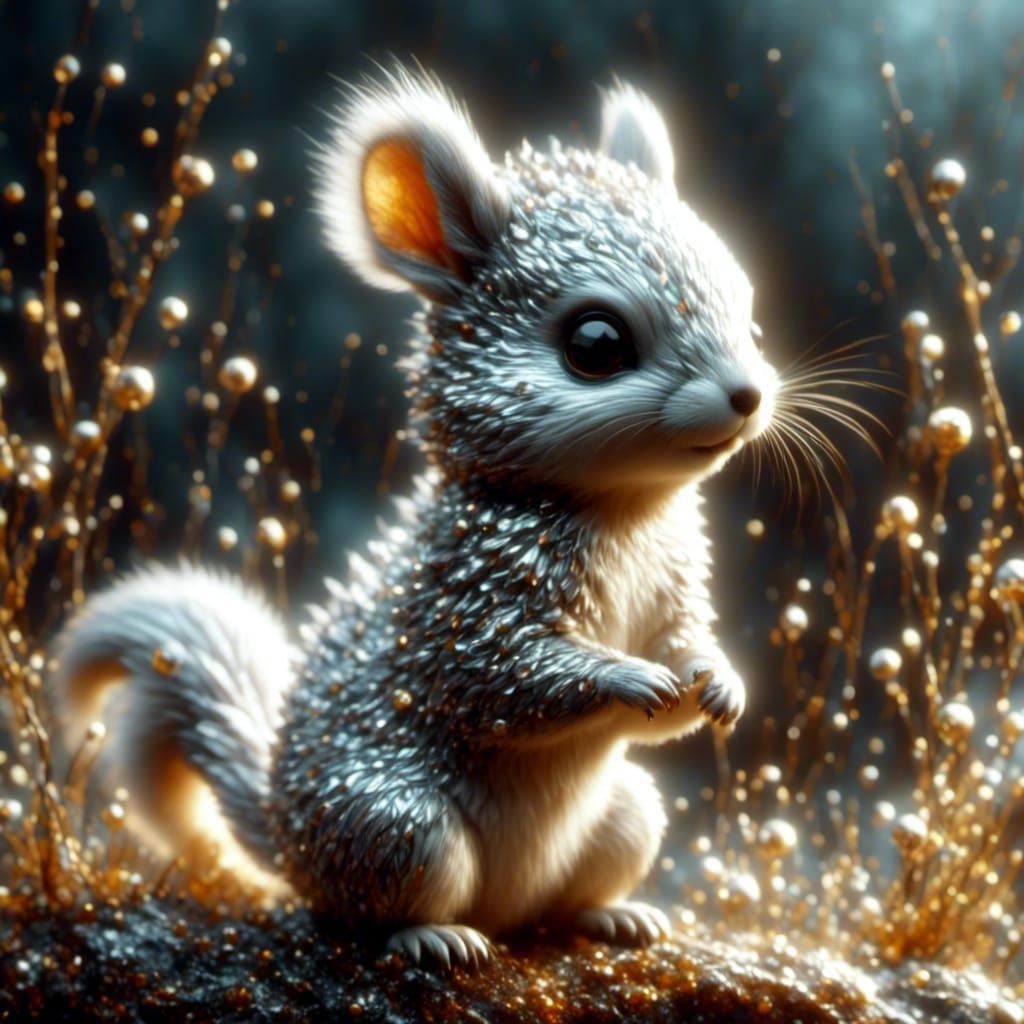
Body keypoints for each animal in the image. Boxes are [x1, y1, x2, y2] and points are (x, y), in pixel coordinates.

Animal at [54, 68, 777, 970]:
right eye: (596, 344)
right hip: (400, 825)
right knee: (374, 910)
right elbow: (510, 678)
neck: (623, 510)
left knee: (575, 888)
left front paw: (718, 682)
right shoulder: (466, 605)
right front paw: (628, 678)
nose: (748, 395)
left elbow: (683, 654)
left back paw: (611, 917)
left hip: (629, 816)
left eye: (745, 302)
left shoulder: (675, 587)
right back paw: (437, 936)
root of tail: (290, 841)